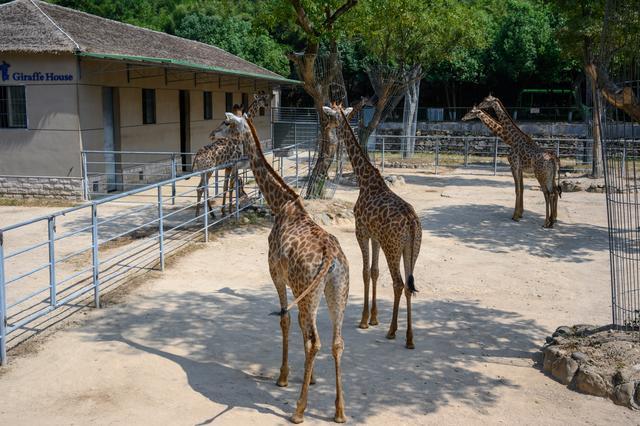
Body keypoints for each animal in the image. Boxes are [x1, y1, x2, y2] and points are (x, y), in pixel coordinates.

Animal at [322, 103, 422, 350]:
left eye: (332, 116)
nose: (326, 126)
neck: (364, 181)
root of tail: (412, 223)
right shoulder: (376, 237)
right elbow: (375, 272)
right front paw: (374, 318)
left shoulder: (362, 232)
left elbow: (365, 272)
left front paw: (364, 320)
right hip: (412, 249)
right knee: (409, 285)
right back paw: (410, 338)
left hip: (392, 247)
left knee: (398, 283)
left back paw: (392, 331)